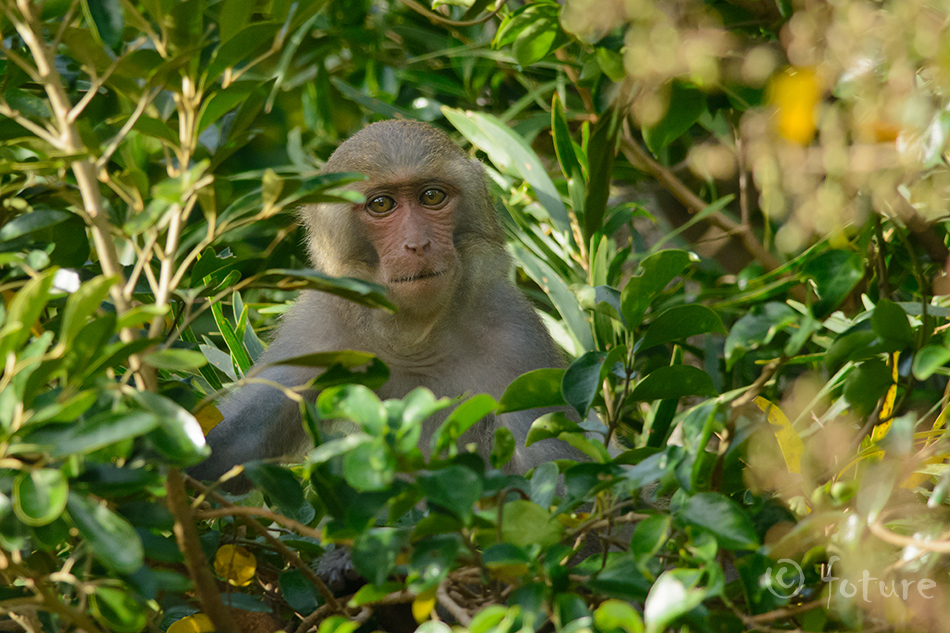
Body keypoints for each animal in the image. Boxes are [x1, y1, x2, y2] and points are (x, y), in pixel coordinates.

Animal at [190, 118, 584, 488]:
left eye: (431, 197)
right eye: (382, 204)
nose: (418, 244)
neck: (415, 338)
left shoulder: (516, 337)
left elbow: (557, 475)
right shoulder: (315, 332)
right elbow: (228, 451)